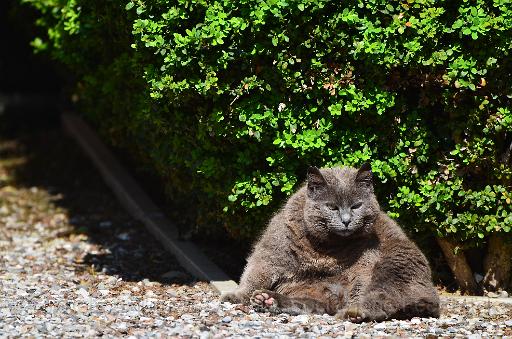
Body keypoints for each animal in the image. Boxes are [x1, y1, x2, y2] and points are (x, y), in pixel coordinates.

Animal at [222, 163, 442, 322]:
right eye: (332, 207)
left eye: (356, 206)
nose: (346, 220)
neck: (325, 248)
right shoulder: (272, 249)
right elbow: (255, 272)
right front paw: (237, 296)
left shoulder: (366, 263)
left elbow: (362, 285)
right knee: (312, 305)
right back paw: (268, 300)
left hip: (394, 266)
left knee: (382, 299)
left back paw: (354, 313)